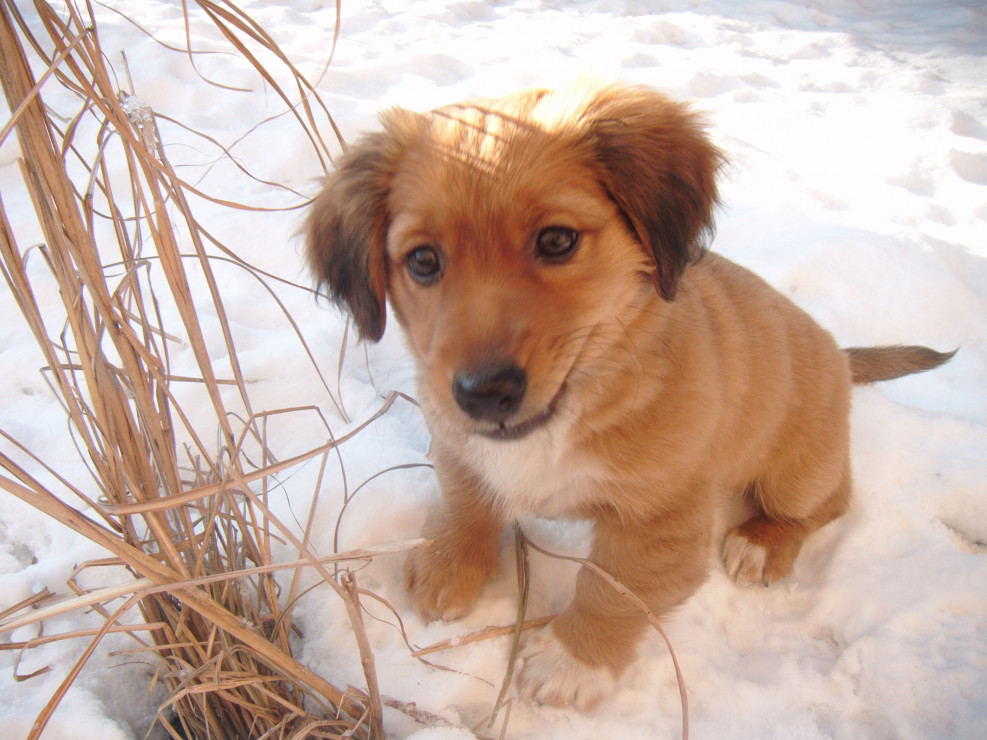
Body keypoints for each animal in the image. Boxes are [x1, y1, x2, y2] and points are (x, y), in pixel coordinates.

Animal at [304, 84, 952, 708]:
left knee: (828, 502)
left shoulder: (660, 521)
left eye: (557, 241)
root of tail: (840, 353)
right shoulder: (456, 439)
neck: (576, 408)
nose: (484, 394)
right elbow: (467, 500)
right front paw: (450, 563)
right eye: (422, 260)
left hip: (798, 470)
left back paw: (762, 543)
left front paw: (573, 663)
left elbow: (610, 591)